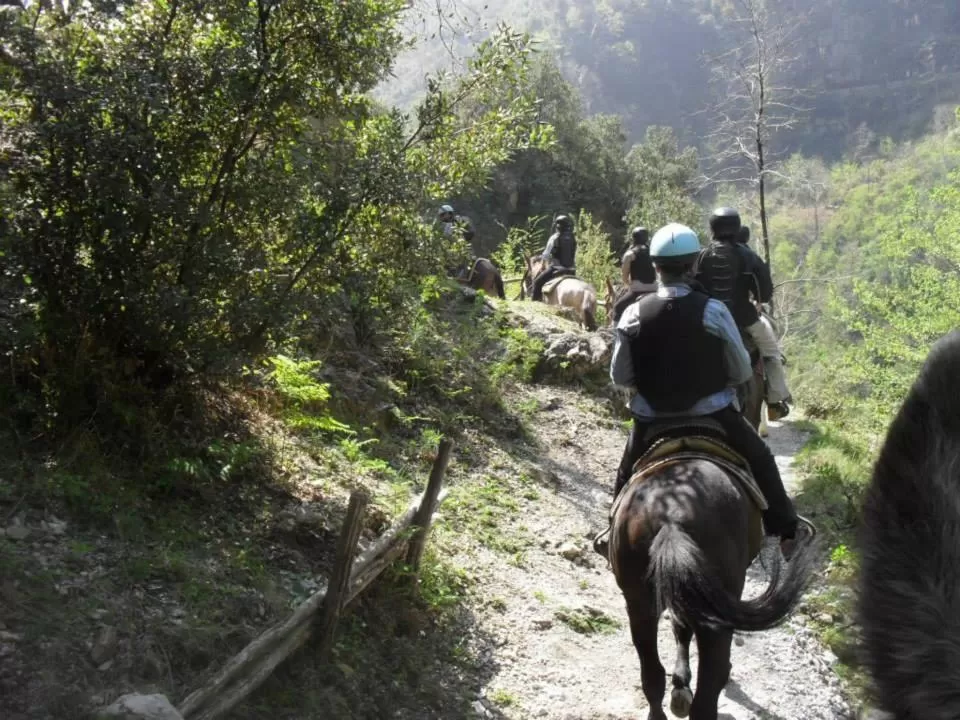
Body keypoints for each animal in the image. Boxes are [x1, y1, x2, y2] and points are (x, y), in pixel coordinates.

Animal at [611, 426, 815, 720]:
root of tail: (671, 515)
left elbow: (680, 627)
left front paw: (680, 685)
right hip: (714, 613)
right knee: (708, 691)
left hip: (639, 603)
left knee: (652, 674)